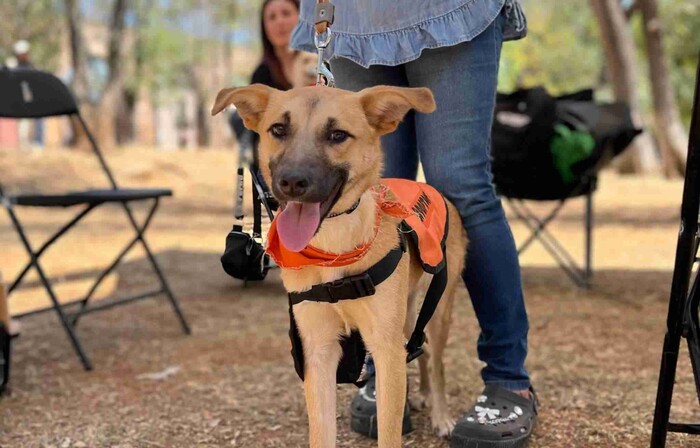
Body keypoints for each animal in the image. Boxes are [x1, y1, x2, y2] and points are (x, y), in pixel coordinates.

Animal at [211, 82, 468, 446]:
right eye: (278, 129)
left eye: (337, 135)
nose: (292, 182)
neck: (333, 249)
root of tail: (430, 187)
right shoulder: (318, 351)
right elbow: (321, 432)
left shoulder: (386, 349)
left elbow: (389, 433)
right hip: (404, 313)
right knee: (418, 348)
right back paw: (422, 395)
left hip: (439, 308)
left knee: (435, 357)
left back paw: (441, 415)